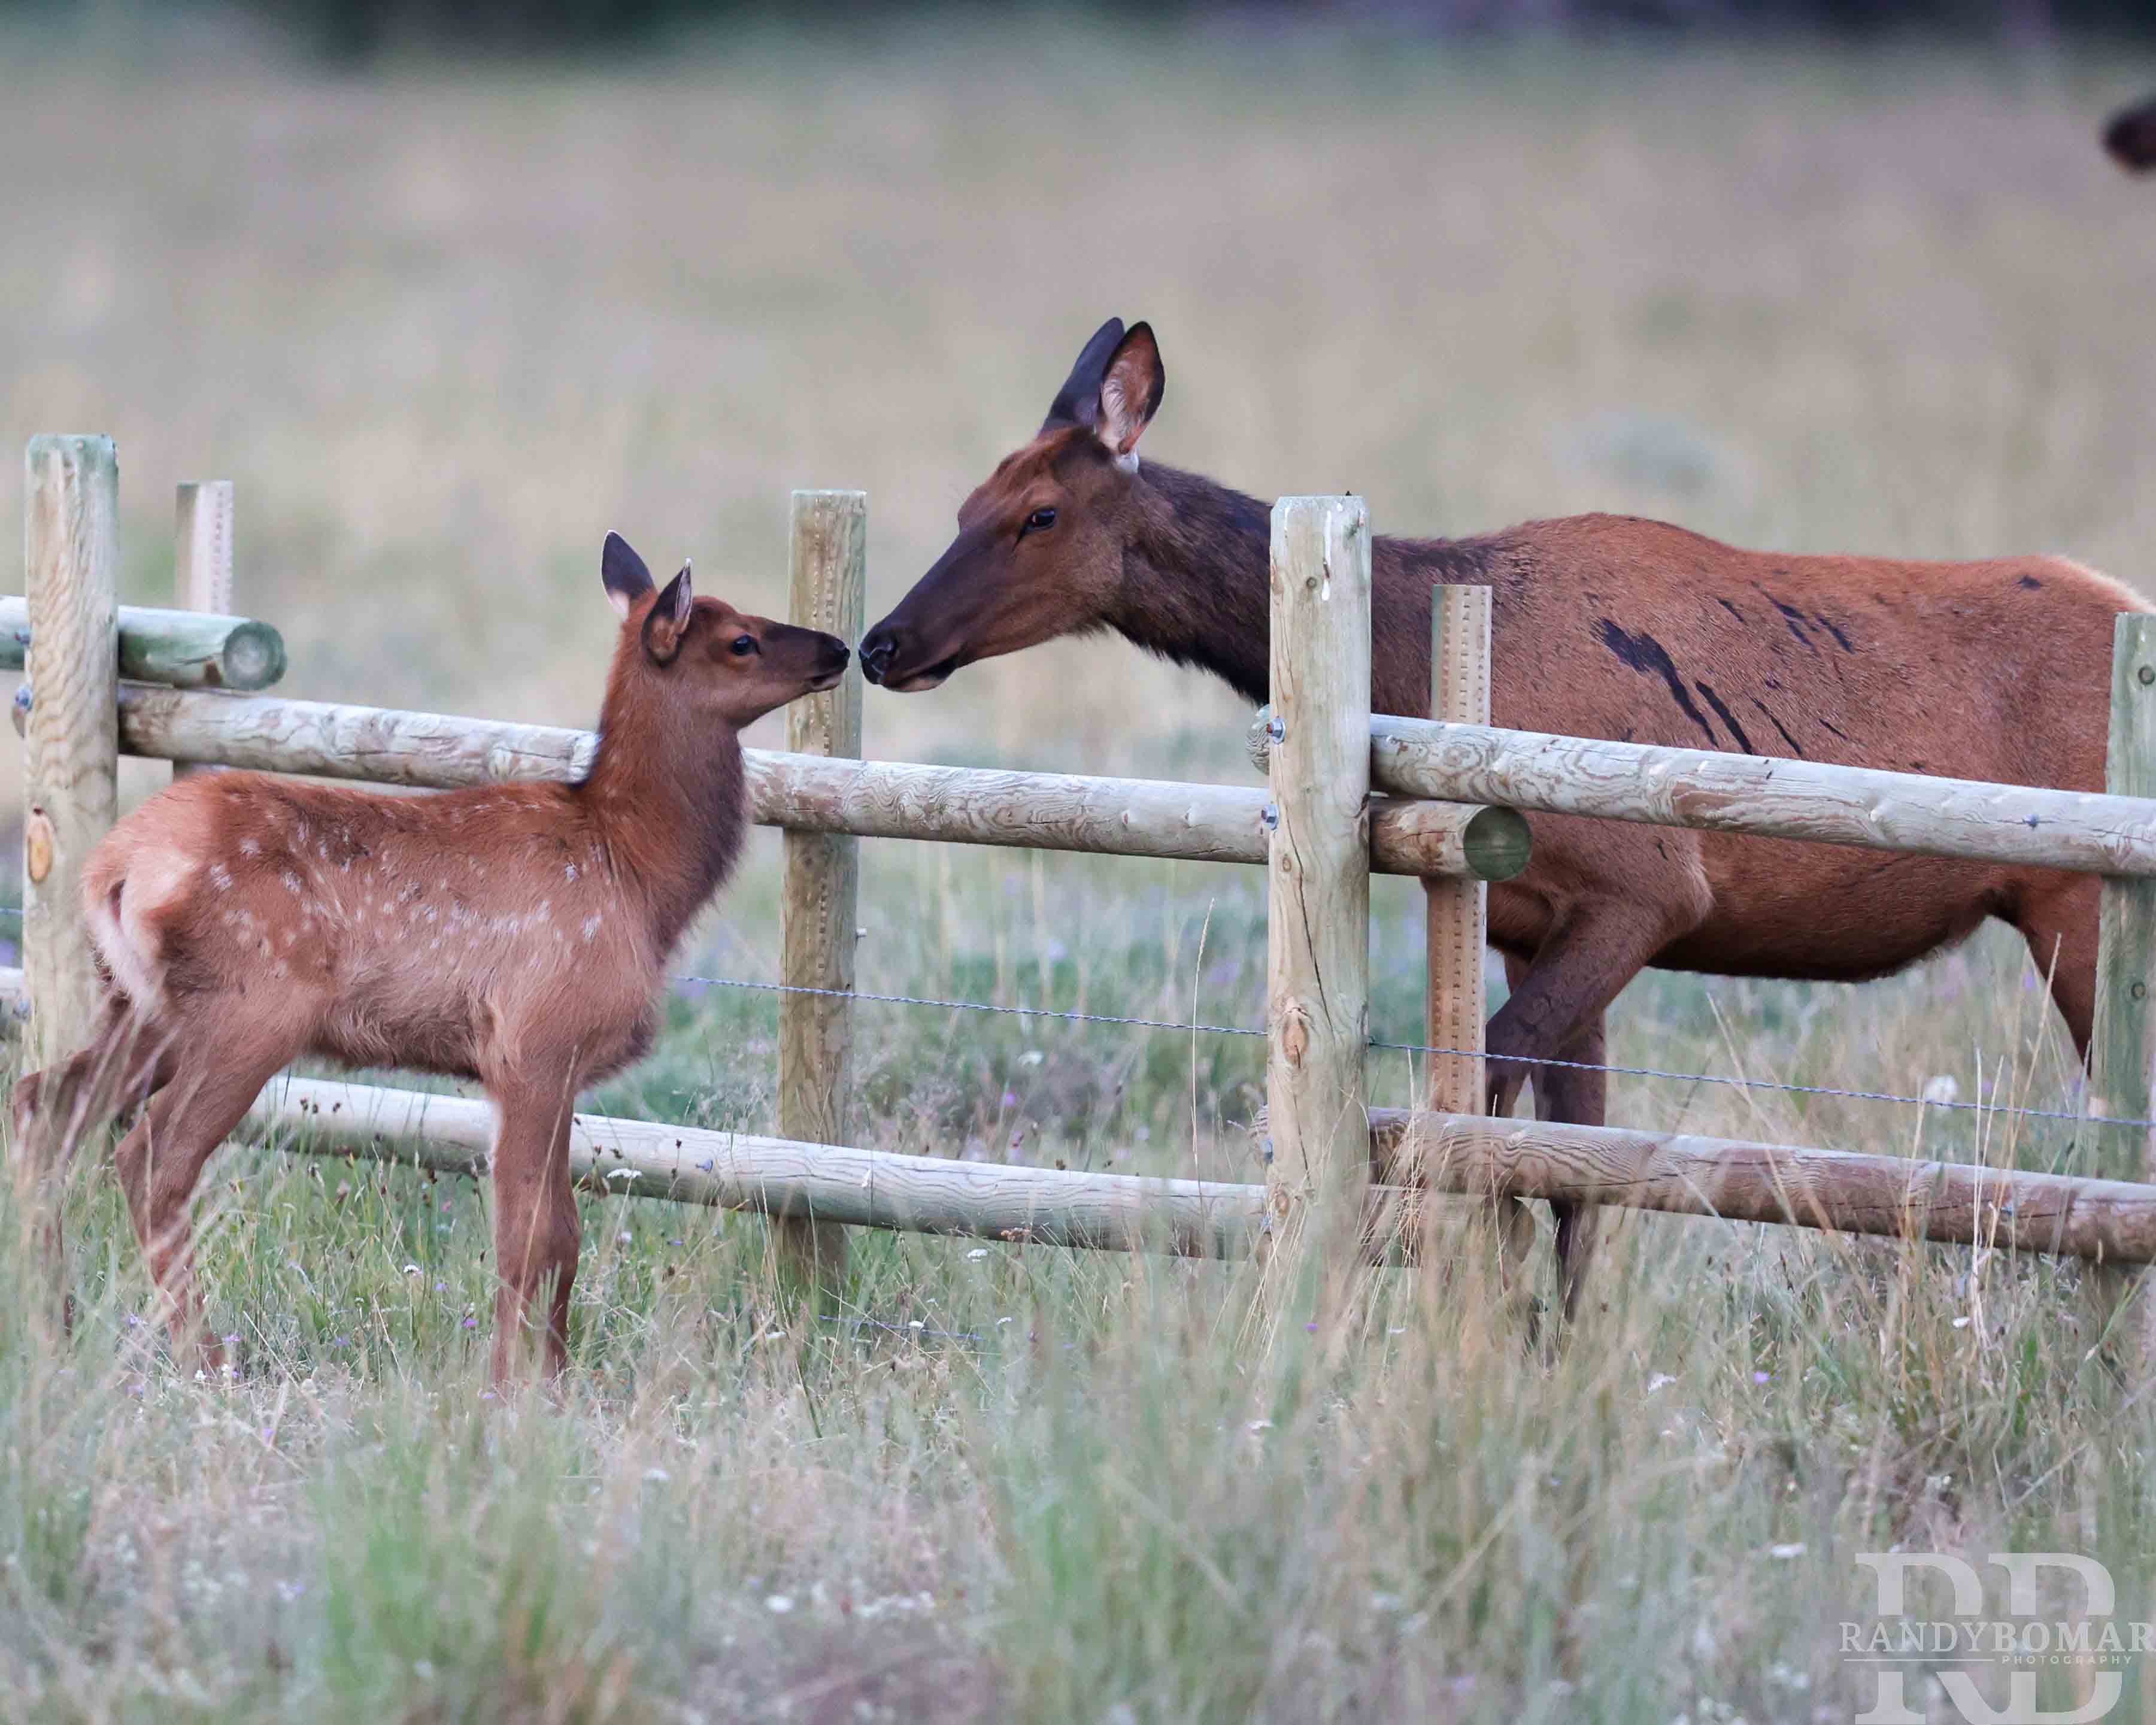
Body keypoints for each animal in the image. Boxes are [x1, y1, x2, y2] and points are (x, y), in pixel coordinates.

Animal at [14, 539, 849, 1389]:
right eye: (741, 639)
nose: (840, 648)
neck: (638, 873)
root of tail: (111, 870)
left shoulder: (540, 1062)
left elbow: (563, 1235)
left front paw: (553, 1378)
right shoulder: (536, 1040)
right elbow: (533, 1236)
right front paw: (515, 1388)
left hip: (142, 1008)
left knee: (41, 1103)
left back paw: (54, 1329)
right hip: (249, 1008)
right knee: (151, 1157)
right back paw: (207, 1360)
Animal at [858, 319, 2139, 1311]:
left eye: (1035, 514)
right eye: (967, 501)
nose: (883, 643)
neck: (1411, 650)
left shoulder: (1652, 887)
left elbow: (1478, 1116)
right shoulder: (1535, 920)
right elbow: (1569, 1170)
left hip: (2078, 904)